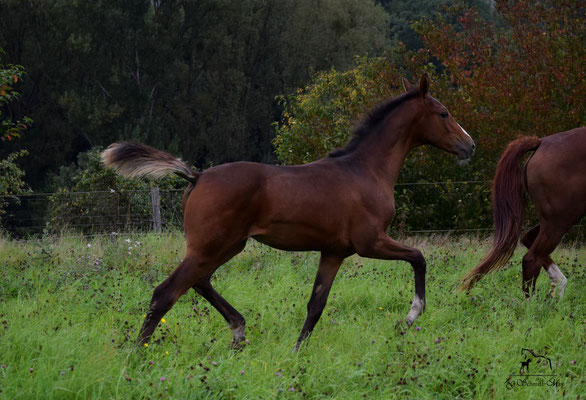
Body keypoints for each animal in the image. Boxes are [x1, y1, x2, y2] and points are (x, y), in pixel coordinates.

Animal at [101, 76, 474, 350]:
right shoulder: (371, 242)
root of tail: (197, 176)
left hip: (227, 246)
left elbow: (316, 305)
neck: (365, 170)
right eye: (443, 113)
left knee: (199, 282)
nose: (470, 145)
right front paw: (410, 316)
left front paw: (296, 352)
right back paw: (137, 354)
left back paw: (238, 330)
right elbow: (419, 258)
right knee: (166, 292)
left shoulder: (334, 252)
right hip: (211, 246)